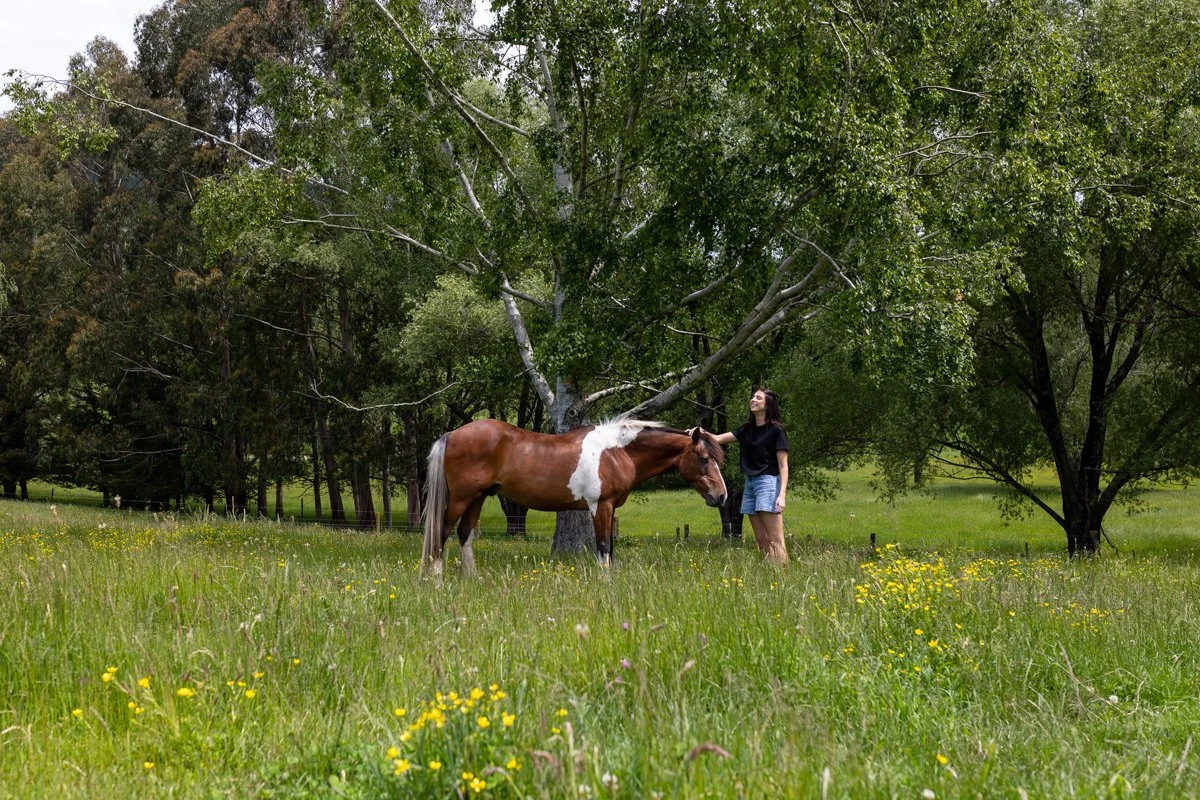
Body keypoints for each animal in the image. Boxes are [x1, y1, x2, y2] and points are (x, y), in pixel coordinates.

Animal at [421, 418, 727, 574]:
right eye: (703, 458)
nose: (722, 496)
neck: (616, 452)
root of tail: (452, 434)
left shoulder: (611, 508)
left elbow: (610, 549)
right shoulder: (600, 506)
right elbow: (603, 547)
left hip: (479, 497)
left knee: (465, 533)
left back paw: (473, 580)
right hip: (461, 498)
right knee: (441, 532)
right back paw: (438, 582)